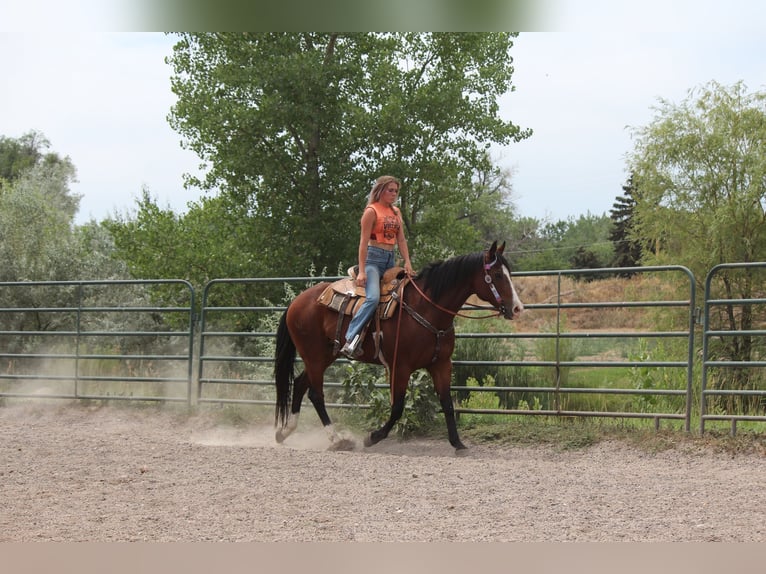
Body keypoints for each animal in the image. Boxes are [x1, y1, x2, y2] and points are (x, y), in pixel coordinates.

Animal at [273, 240, 524, 452]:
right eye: (498, 275)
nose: (518, 308)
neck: (427, 308)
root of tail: (297, 301)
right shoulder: (400, 367)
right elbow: (397, 407)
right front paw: (373, 437)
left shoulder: (441, 364)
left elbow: (447, 402)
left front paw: (457, 443)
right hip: (314, 355)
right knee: (316, 393)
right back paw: (337, 439)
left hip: (324, 355)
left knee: (300, 384)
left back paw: (284, 432)